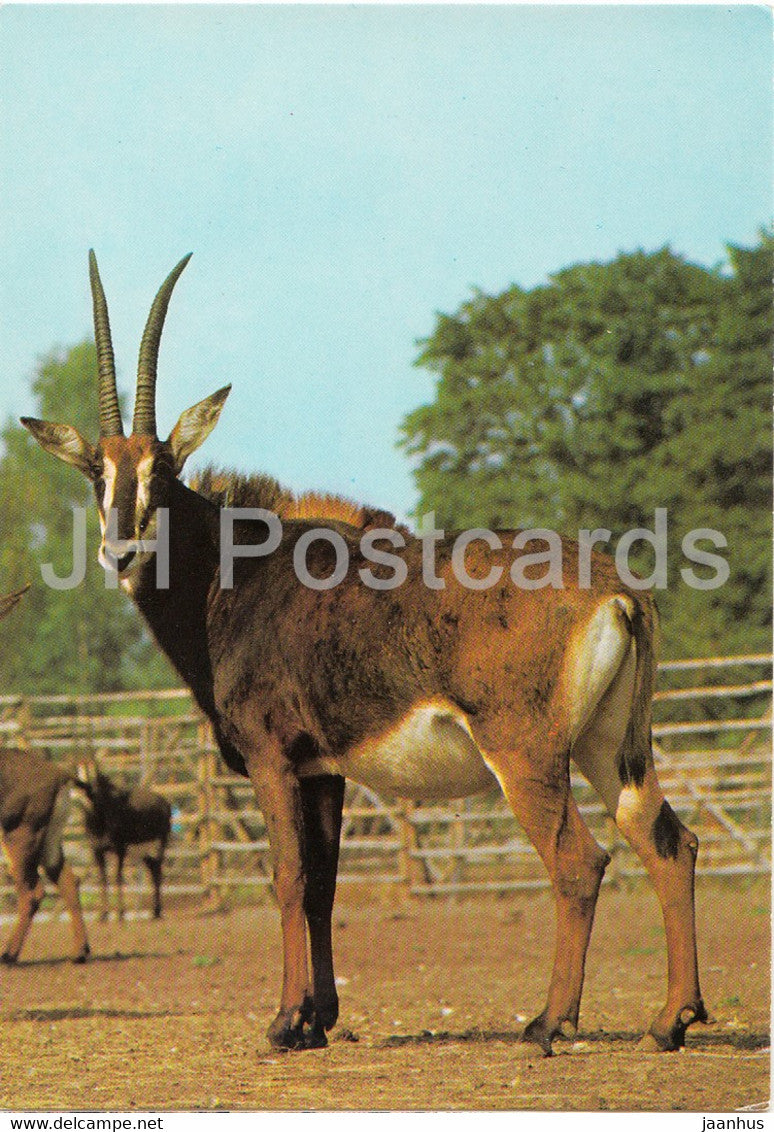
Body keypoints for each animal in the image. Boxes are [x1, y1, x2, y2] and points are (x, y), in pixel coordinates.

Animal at [73, 756, 172, 922]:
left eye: (96, 775)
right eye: (79, 774)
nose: (91, 790)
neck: (99, 822)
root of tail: (165, 803)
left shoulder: (120, 849)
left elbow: (117, 878)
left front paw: (120, 913)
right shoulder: (97, 851)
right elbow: (103, 879)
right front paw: (103, 914)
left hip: (160, 843)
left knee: (158, 871)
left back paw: (157, 912)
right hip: (143, 850)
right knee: (153, 869)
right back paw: (154, 911)